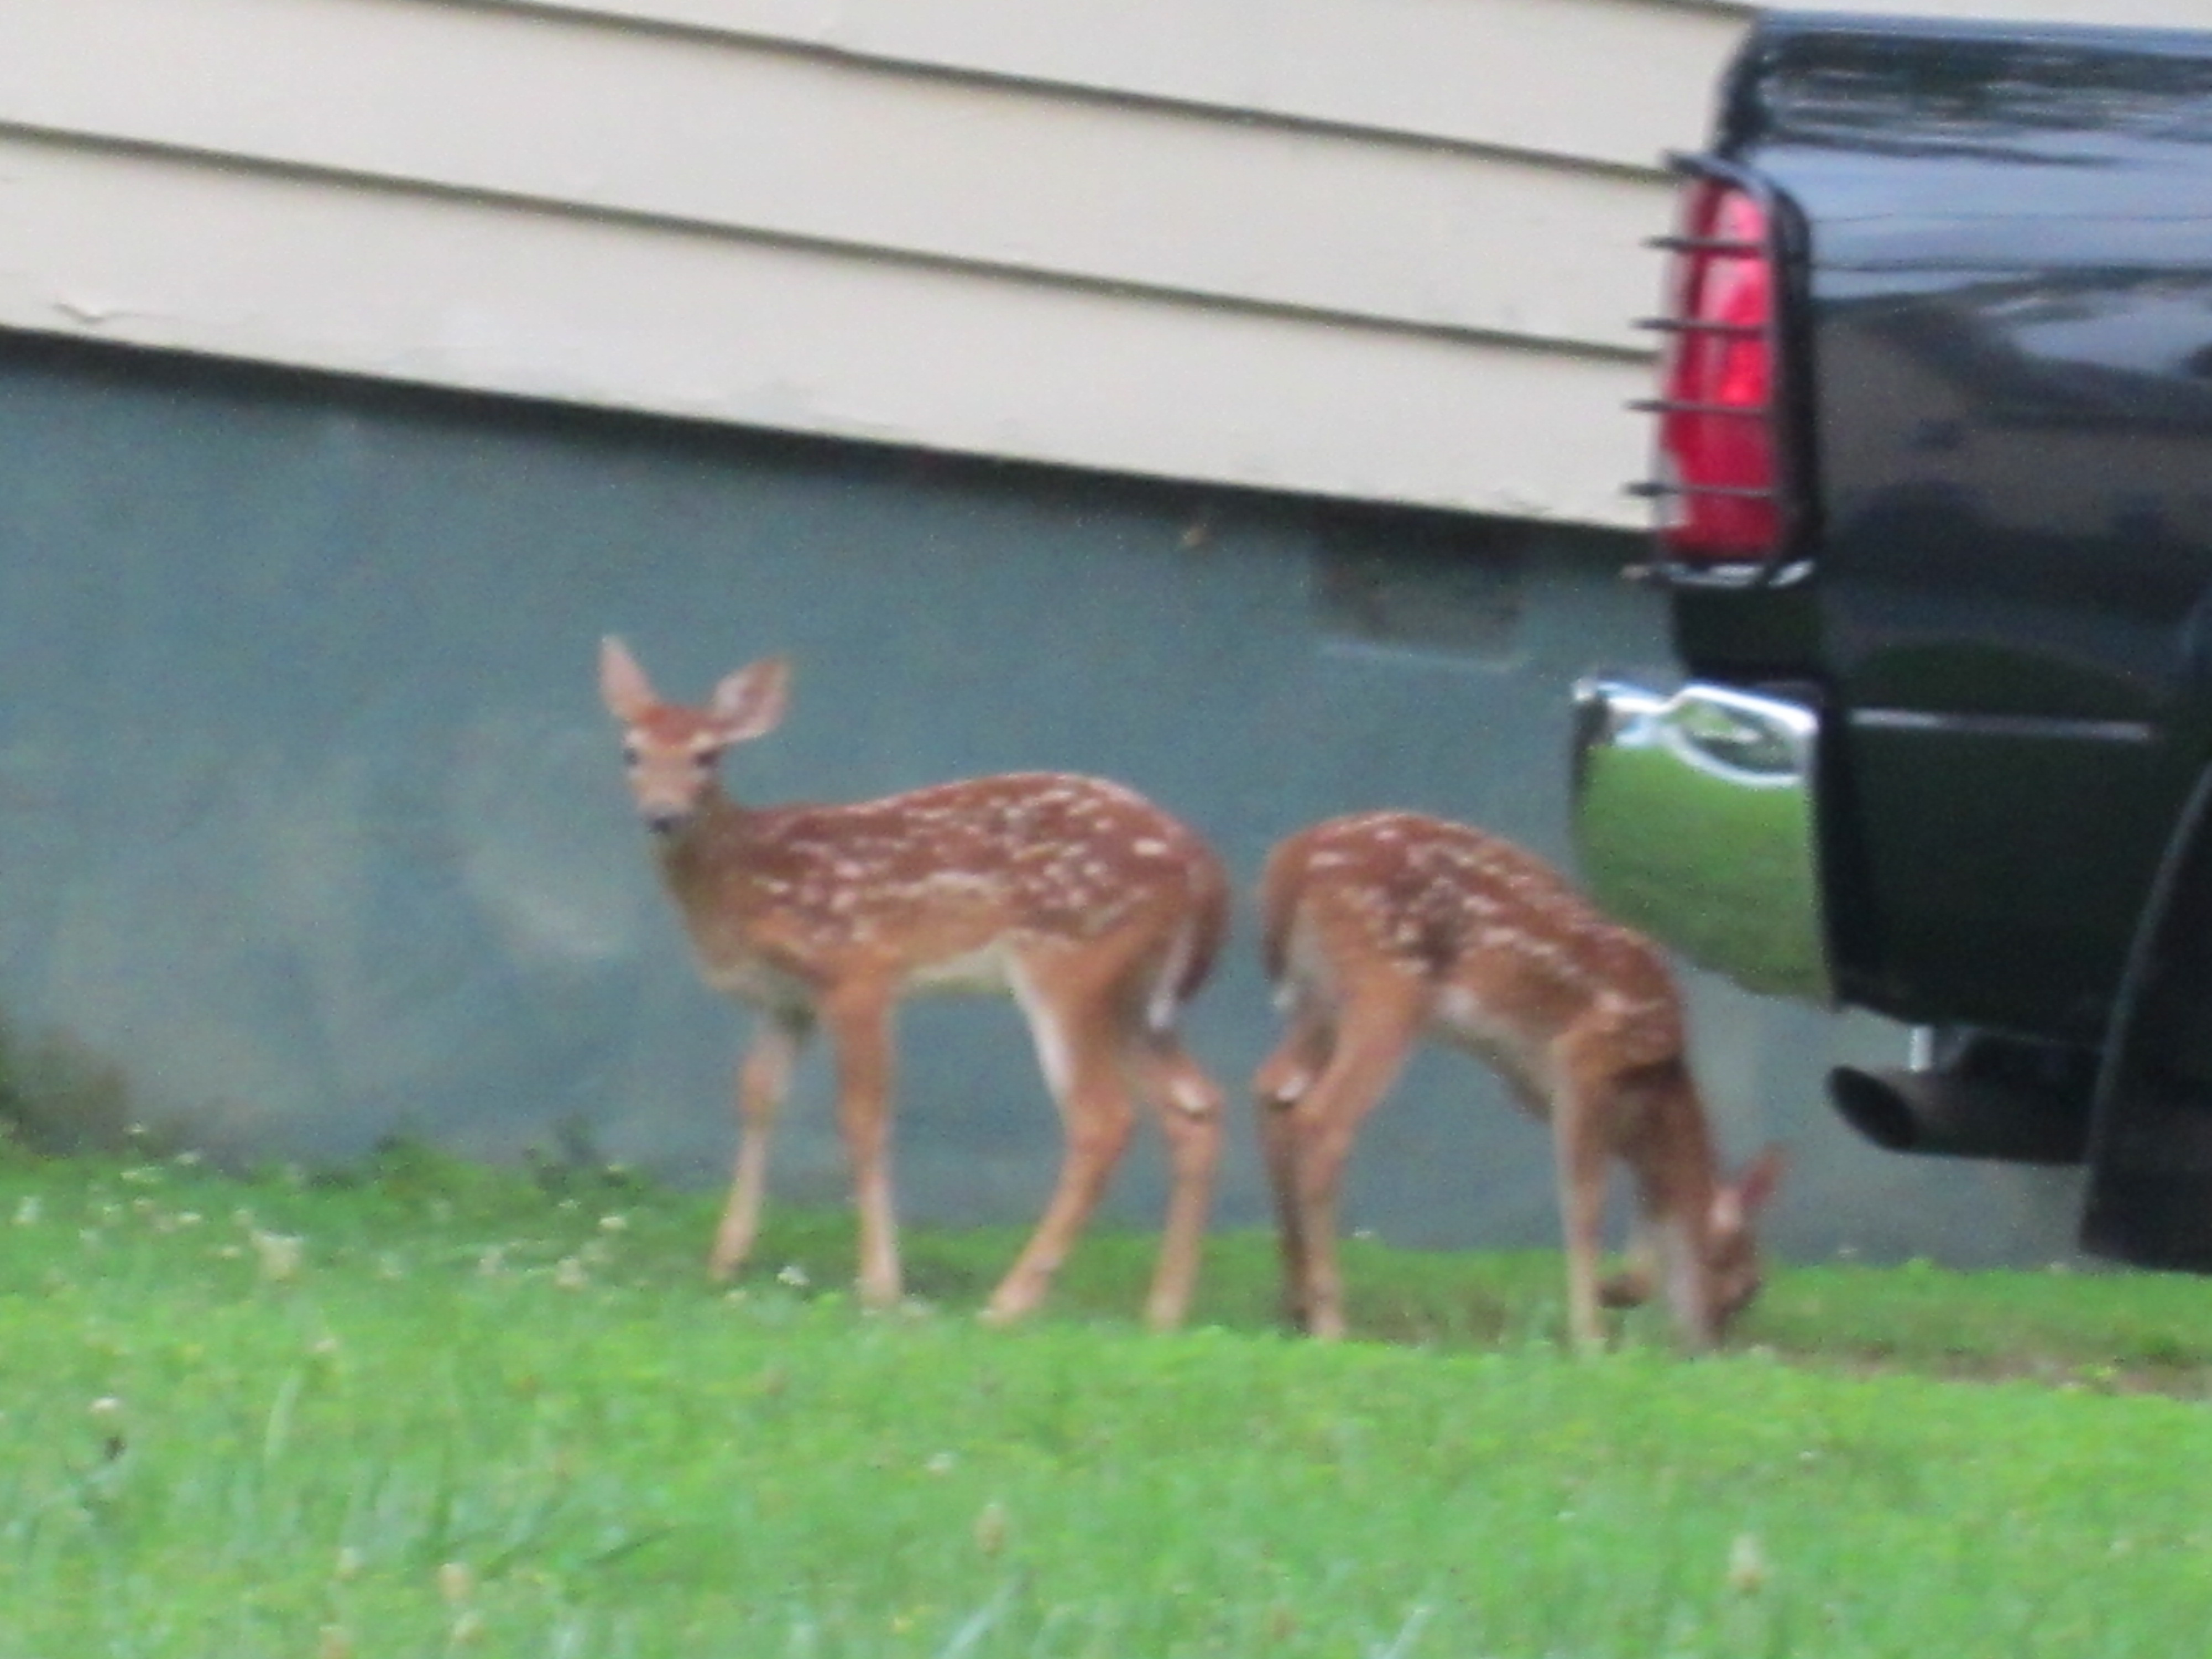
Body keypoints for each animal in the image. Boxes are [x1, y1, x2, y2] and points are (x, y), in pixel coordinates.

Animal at [598, 637, 1230, 1330]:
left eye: (707, 755)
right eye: (631, 751)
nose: (663, 815)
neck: (744, 877)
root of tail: (1202, 866)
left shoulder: (859, 970)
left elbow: (863, 1118)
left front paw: (881, 1285)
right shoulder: (787, 1002)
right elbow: (757, 1098)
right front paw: (727, 1260)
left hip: (1069, 961)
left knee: (1102, 1118)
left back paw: (1012, 1300)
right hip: (1138, 997)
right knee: (1195, 1106)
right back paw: (1165, 1309)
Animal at [1250, 809, 1784, 1353]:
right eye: (1746, 1285)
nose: (1708, 1349)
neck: (1657, 1087)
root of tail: (1292, 862)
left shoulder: (1542, 1093)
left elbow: (1645, 1197)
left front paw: (1619, 1288)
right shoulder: (1587, 1054)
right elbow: (1584, 1198)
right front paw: (1590, 1337)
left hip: (1319, 1000)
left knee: (1273, 1088)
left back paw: (1295, 1299)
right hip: (1387, 983)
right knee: (1322, 1117)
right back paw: (1330, 1321)